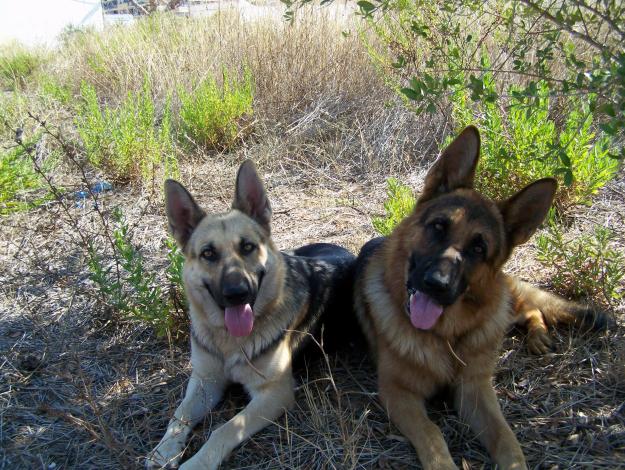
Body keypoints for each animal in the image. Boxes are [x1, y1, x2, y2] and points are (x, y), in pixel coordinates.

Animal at [144, 160, 354, 468]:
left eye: (247, 247)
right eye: (208, 254)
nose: (236, 293)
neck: (229, 341)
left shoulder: (274, 394)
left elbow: (224, 429)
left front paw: (196, 463)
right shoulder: (204, 381)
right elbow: (178, 416)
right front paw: (163, 451)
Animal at [354, 126, 608, 468]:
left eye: (478, 248)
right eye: (438, 226)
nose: (436, 284)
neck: (444, 336)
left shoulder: (475, 391)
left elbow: (507, 439)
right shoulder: (399, 393)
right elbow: (433, 434)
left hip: (501, 307)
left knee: (530, 308)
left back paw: (538, 336)